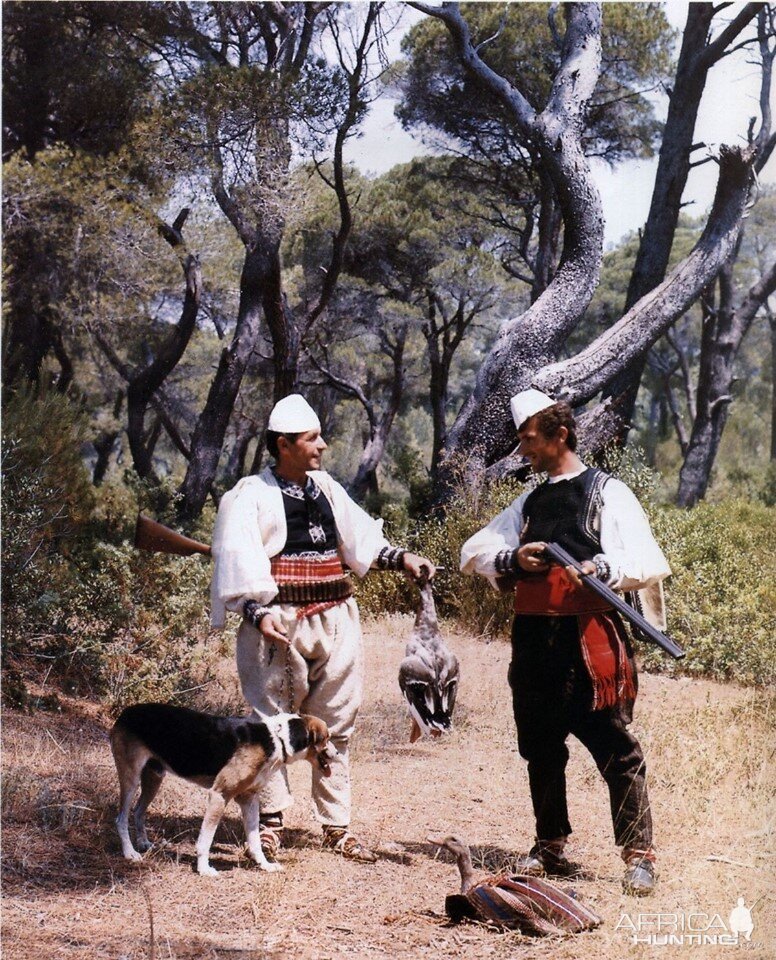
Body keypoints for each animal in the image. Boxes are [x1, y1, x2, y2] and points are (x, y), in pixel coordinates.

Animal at [107, 704, 332, 876]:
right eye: (327, 738)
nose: (337, 753)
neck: (276, 739)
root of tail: (127, 711)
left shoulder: (249, 800)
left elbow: (255, 841)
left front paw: (265, 865)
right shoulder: (219, 795)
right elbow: (205, 841)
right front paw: (204, 869)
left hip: (154, 778)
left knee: (138, 812)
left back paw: (144, 843)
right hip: (131, 778)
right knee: (120, 819)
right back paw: (130, 853)